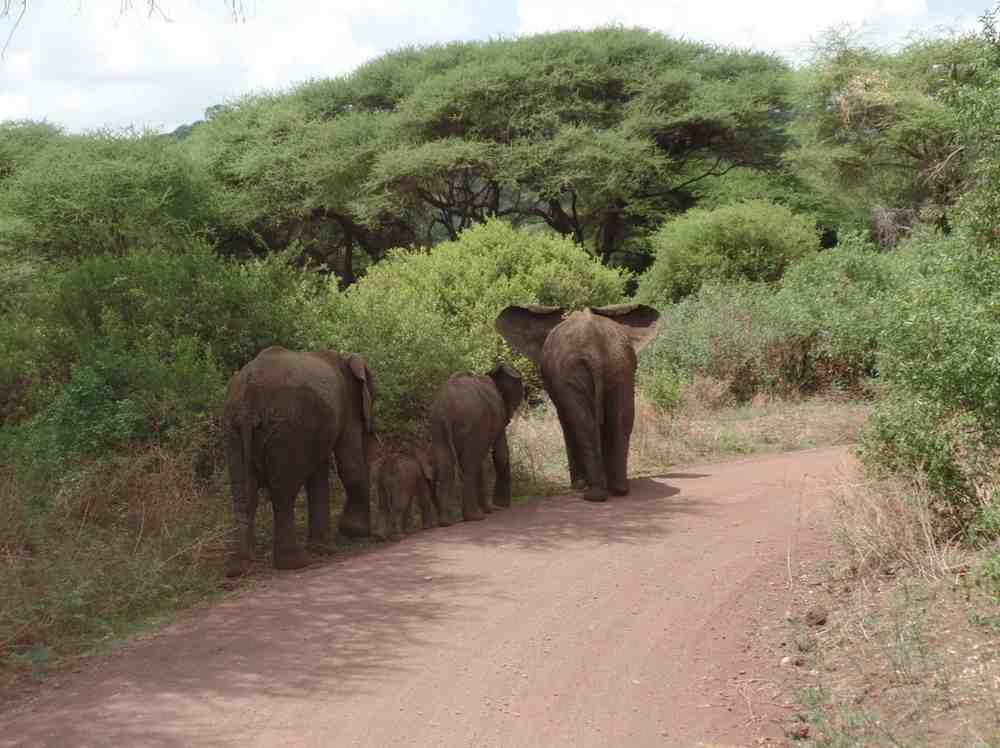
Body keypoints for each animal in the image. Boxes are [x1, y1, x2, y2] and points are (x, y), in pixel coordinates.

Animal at [222, 346, 375, 577]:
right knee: (282, 493)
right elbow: (350, 462)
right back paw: (295, 563)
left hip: (234, 428)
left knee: (243, 495)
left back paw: (238, 568)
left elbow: (319, 473)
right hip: (286, 428)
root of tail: (250, 393)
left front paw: (324, 549)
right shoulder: (347, 404)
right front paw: (354, 532)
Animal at [428, 363, 524, 524]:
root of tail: (447, 406)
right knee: (469, 464)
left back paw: (446, 522)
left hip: (437, 425)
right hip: (472, 422)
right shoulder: (497, 413)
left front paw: (491, 509)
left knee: (446, 464)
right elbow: (501, 453)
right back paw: (475, 517)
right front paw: (499, 506)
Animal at [495, 304, 660, 502]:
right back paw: (618, 489)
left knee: (582, 423)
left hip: (572, 370)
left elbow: (566, 420)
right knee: (620, 420)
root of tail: (594, 346)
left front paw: (578, 485)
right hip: (620, 365)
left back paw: (593, 494)